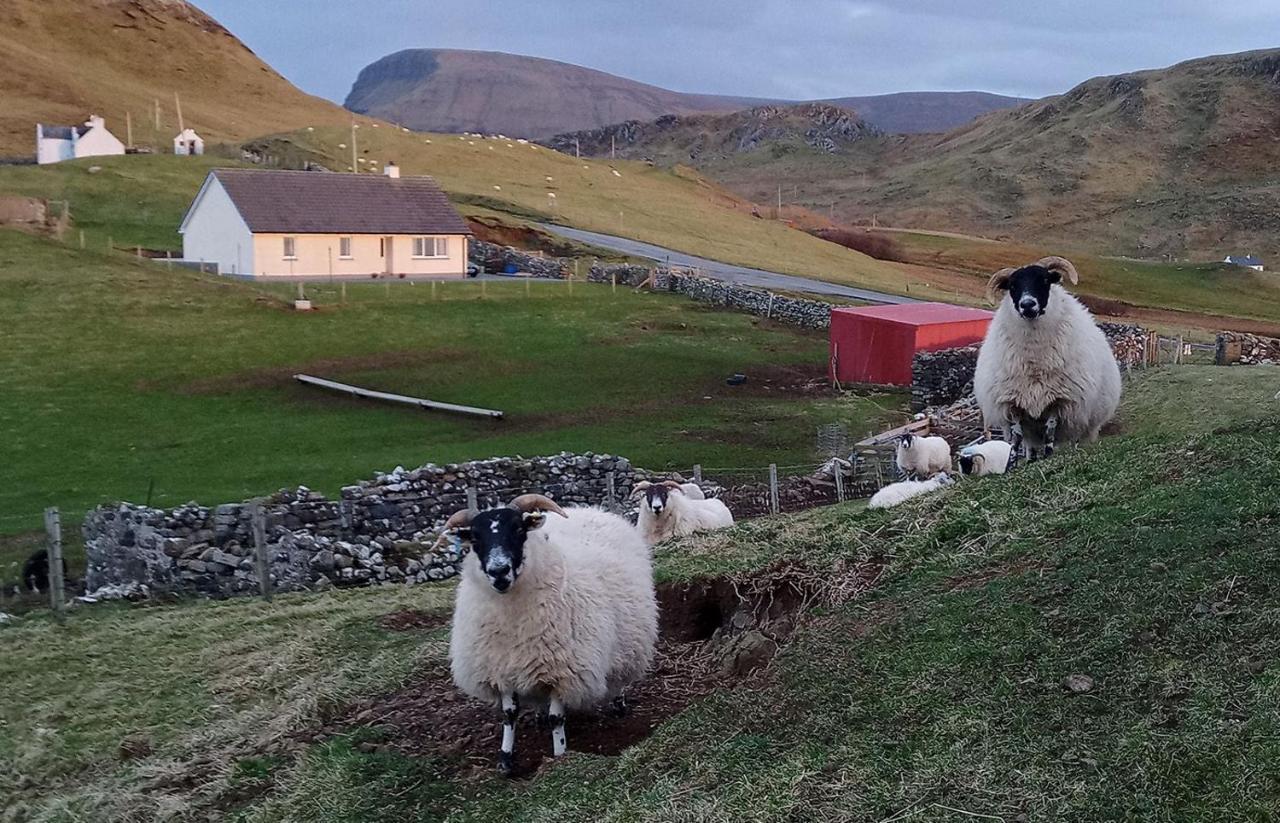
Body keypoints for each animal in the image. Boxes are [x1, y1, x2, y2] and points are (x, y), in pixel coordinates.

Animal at [442, 491, 660, 778]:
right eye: (475, 538)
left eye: (519, 529)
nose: (498, 572)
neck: (512, 618)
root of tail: (589, 510)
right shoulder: (502, 668)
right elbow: (509, 714)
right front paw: (505, 760)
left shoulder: (563, 669)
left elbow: (557, 718)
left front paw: (559, 757)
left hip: (628, 638)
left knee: (620, 673)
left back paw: (618, 704)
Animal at [967, 254, 1121, 460]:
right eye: (1012, 286)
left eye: (1045, 280)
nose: (1027, 305)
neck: (1035, 360)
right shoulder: (1013, 403)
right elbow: (1017, 437)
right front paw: (1013, 461)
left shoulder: (1059, 401)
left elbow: (1050, 432)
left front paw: (1048, 455)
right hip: (1033, 428)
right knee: (1030, 443)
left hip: (1086, 422)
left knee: (1076, 438)